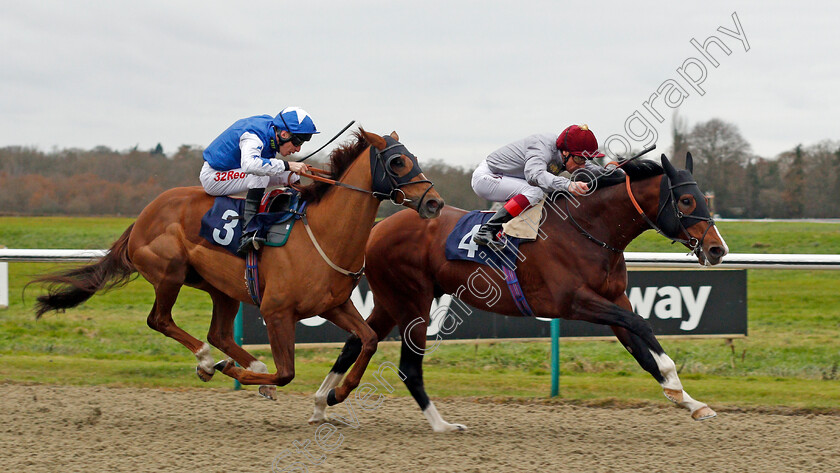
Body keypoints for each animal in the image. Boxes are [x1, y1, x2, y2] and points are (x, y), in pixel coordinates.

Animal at [30, 130, 442, 406]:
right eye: (398, 162)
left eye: (414, 157)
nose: (434, 203)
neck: (323, 235)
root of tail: (144, 215)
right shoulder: (277, 313)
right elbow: (288, 372)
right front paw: (233, 372)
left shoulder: (334, 305)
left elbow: (368, 340)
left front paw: (337, 393)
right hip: (170, 273)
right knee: (161, 320)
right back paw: (208, 362)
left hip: (221, 288)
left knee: (219, 333)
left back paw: (249, 367)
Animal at [312, 153, 732, 430]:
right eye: (686, 200)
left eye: (704, 198)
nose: (717, 249)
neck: (587, 229)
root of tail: (377, 229)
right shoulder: (575, 302)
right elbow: (642, 326)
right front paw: (676, 384)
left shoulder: (614, 299)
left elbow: (641, 349)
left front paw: (691, 401)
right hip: (413, 300)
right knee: (408, 367)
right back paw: (442, 425)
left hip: (390, 299)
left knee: (356, 340)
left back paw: (322, 403)